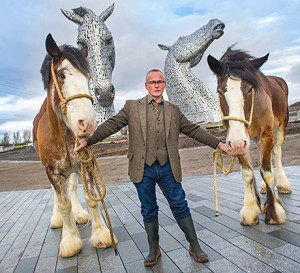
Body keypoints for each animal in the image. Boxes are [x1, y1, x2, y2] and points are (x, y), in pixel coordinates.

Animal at [33, 33, 117, 256]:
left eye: (88, 78)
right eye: (61, 75)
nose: (86, 124)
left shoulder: (84, 162)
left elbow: (90, 197)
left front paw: (101, 235)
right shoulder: (52, 170)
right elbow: (63, 204)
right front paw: (70, 240)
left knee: (71, 187)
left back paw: (79, 214)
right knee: (58, 195)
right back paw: (58, 220)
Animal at [207, 47, 292, 225]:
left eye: (250, 89)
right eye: (220, 92)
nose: (237, 143)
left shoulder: (265, 134)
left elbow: (266, 171)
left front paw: (274, 211)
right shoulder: (237, 140)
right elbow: (247, 173)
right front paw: (251, 209)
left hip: (280, 128)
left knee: (277, 153)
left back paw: (282, 184)